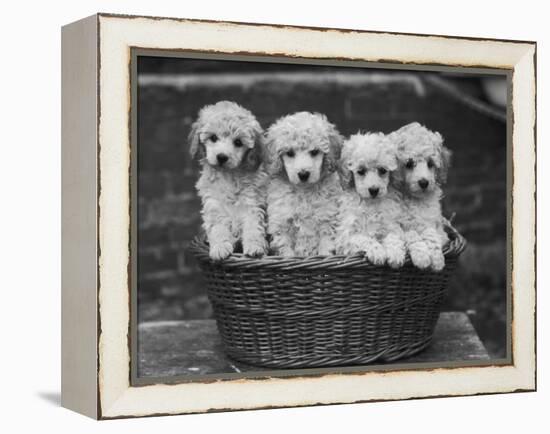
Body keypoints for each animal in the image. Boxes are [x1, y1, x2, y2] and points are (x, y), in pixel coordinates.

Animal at [189, 100, 268, 260]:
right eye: (213, 138)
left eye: (238, 142)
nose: (222, 157)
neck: (229, 176)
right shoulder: (214, 204)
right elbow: (218, 228)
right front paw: (220, 248)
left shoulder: (252, 203)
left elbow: (253, 226)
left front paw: (255, 247)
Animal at [264, 110, 344, 258]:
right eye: (289, 153)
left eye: (314, 152)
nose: (303, 174)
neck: (304, 191)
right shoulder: (281, 222)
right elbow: (286, 249)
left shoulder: (327, 218)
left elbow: (326, 245)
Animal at [334, 132, 408, 268]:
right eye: (361, 171)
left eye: (382, 170)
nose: (374, 190)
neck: (371, 204)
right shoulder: (345, 236)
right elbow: (364, 238)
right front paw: (378, 252)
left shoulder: (391, 224)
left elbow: (394, 236)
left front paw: (395, 254)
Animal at [388, 122, 452, 270]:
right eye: (409, 163)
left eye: (431, 163)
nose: (424, 182)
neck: (414, 199)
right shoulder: (397, 224)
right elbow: (411, 234)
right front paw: (422, 256)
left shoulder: (435, 225)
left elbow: (431, 234)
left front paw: (437, 259)